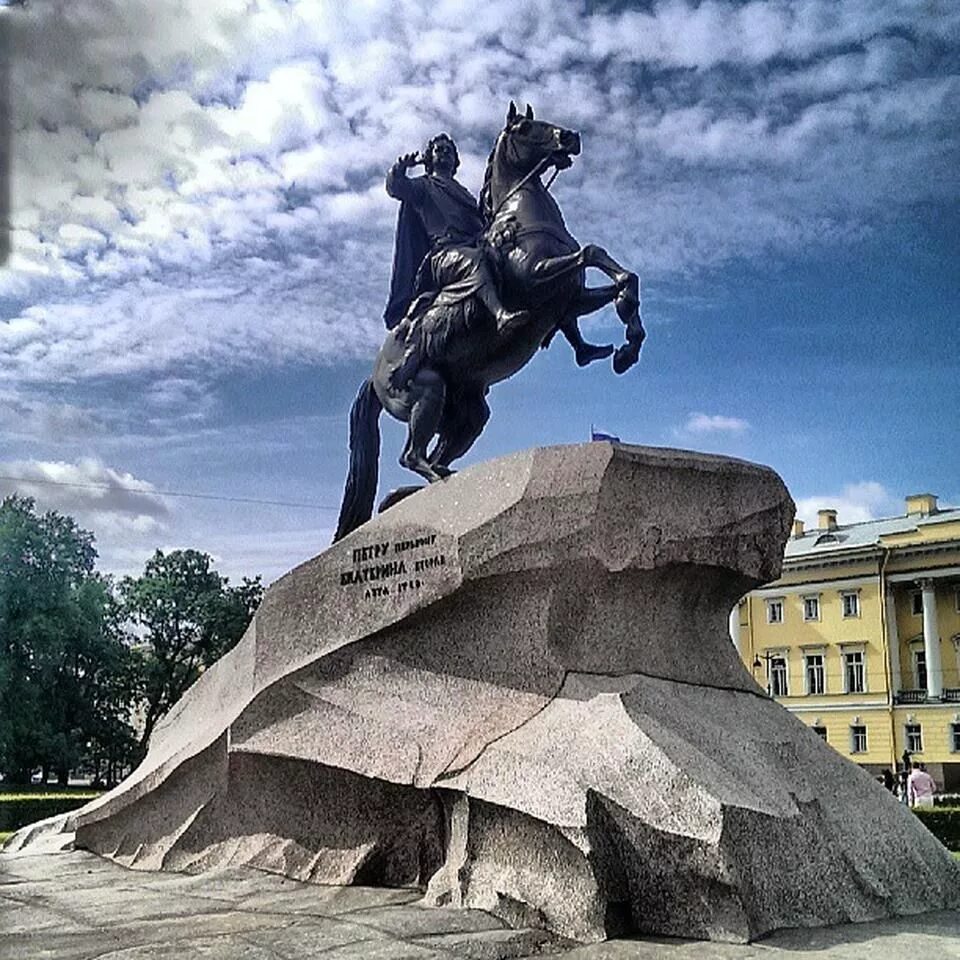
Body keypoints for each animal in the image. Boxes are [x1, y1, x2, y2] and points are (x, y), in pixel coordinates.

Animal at [336, 105, 644, 544]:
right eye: (525, 127)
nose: (570, 137)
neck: (520, 212)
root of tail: (374, 375)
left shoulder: (568, 298)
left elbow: (619, 276)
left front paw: (626, 344)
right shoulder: (536, 278)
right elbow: (590, 251)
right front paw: (404, 168)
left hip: (467, 414)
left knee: (435, 452)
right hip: (425, 391)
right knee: (412, 454)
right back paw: (436, 483)